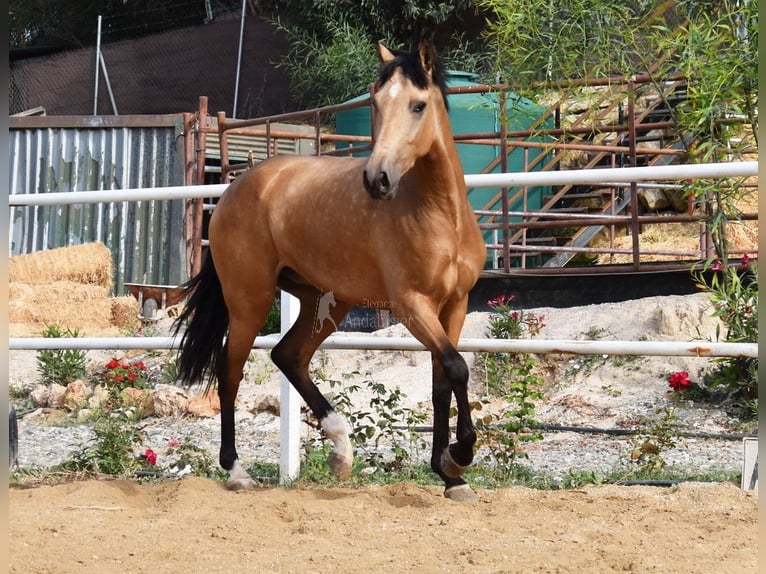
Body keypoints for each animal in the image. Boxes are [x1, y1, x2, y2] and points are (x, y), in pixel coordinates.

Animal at [174, 38, 486, 502]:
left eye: (418, 105)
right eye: (375, 102)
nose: (377, 179)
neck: (440, 216)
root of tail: (234, 189)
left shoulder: (455, 304)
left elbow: (442, 381)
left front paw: (450, 475)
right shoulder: (412, 305)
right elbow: (456, 368)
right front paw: (459, 457)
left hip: (325, 300)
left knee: (289, 355)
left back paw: (341, 449)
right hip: (250, 300)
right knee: (231, 372)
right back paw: (237, 470)